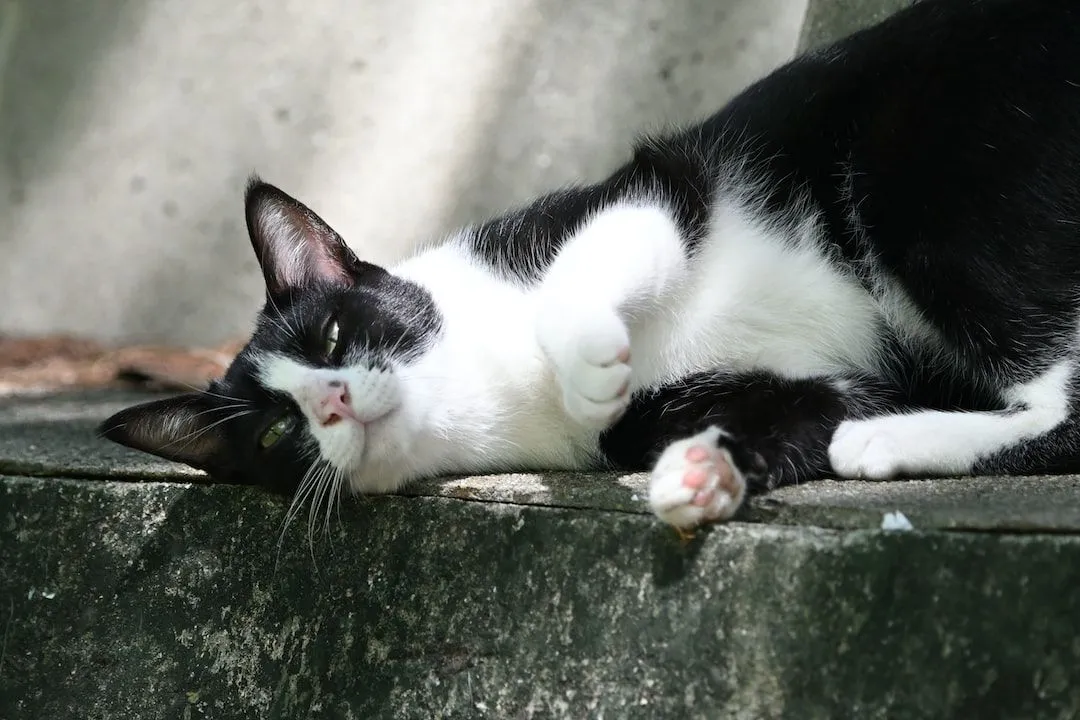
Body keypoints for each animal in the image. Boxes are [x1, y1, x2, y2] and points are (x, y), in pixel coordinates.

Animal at [99, 0, 1080, 533]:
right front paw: (703, 474)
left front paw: (588, 361)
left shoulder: (657, 188)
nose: (332, 400)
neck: (490, 388)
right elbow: (799, 413)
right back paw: (892, 437)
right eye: (276, 436)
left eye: (335, 333)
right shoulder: (754, 399)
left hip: (919, 177)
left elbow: (594, 259)